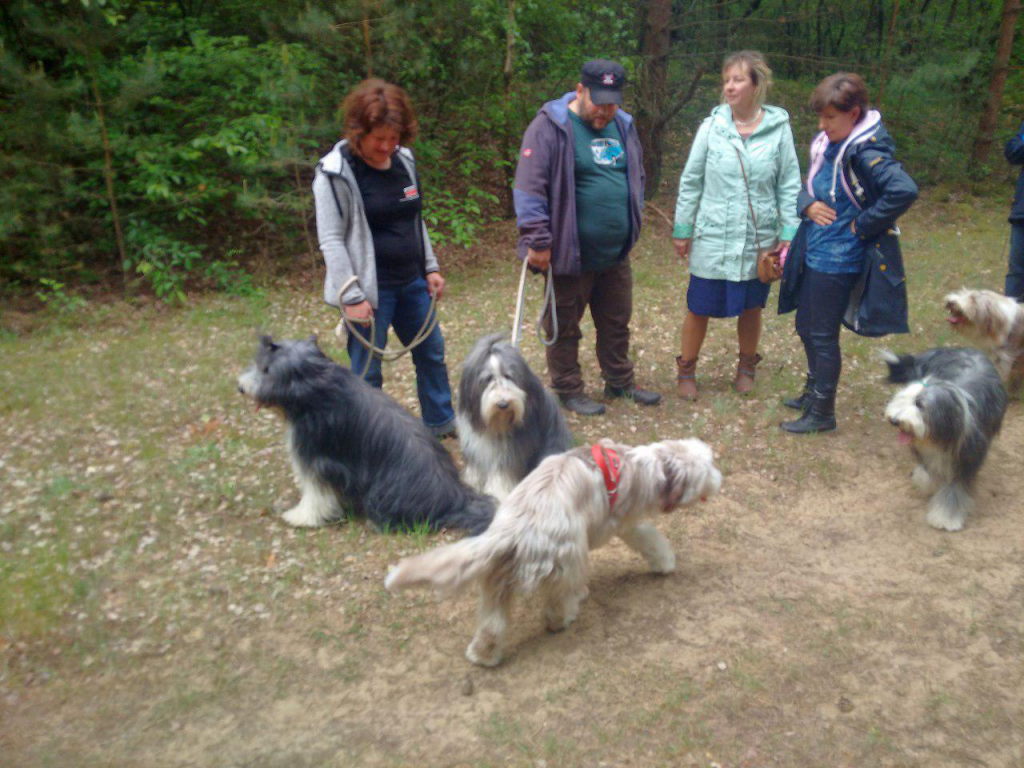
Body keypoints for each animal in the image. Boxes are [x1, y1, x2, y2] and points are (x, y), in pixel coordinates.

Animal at [239, 335, 495, 536]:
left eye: (266, 370)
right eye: (258, 365)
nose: (240, 388)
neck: (317, 387)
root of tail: (455, 499)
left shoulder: (316, 457)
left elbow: (315, 494)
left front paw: (301, 516)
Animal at [382, 438, 720, 667]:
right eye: (708, 467)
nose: (720, 478)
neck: (643, 466)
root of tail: (513, 530)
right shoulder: (624, 523)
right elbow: (650, 538)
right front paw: (665, 562)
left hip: (497, 585)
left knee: (492, 627)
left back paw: (483, 656)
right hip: (564, 561)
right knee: (557, 603)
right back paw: (564, 616)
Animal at [458, 333, 577, 501]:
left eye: (509, 376)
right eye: (488, 379)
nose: (503, 404)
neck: (495, 425)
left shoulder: (512, 451)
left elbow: (503, 472)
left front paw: (498, 493)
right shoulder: (475, 446)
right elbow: (475, 468)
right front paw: (471, 484)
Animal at [880, 350, 1007, 536]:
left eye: (919, 404)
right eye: (903, 398)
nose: (894, 420)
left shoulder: (964, 460)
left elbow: (954, 489)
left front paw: (945, 518)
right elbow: (930, 471)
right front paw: (928, 483)